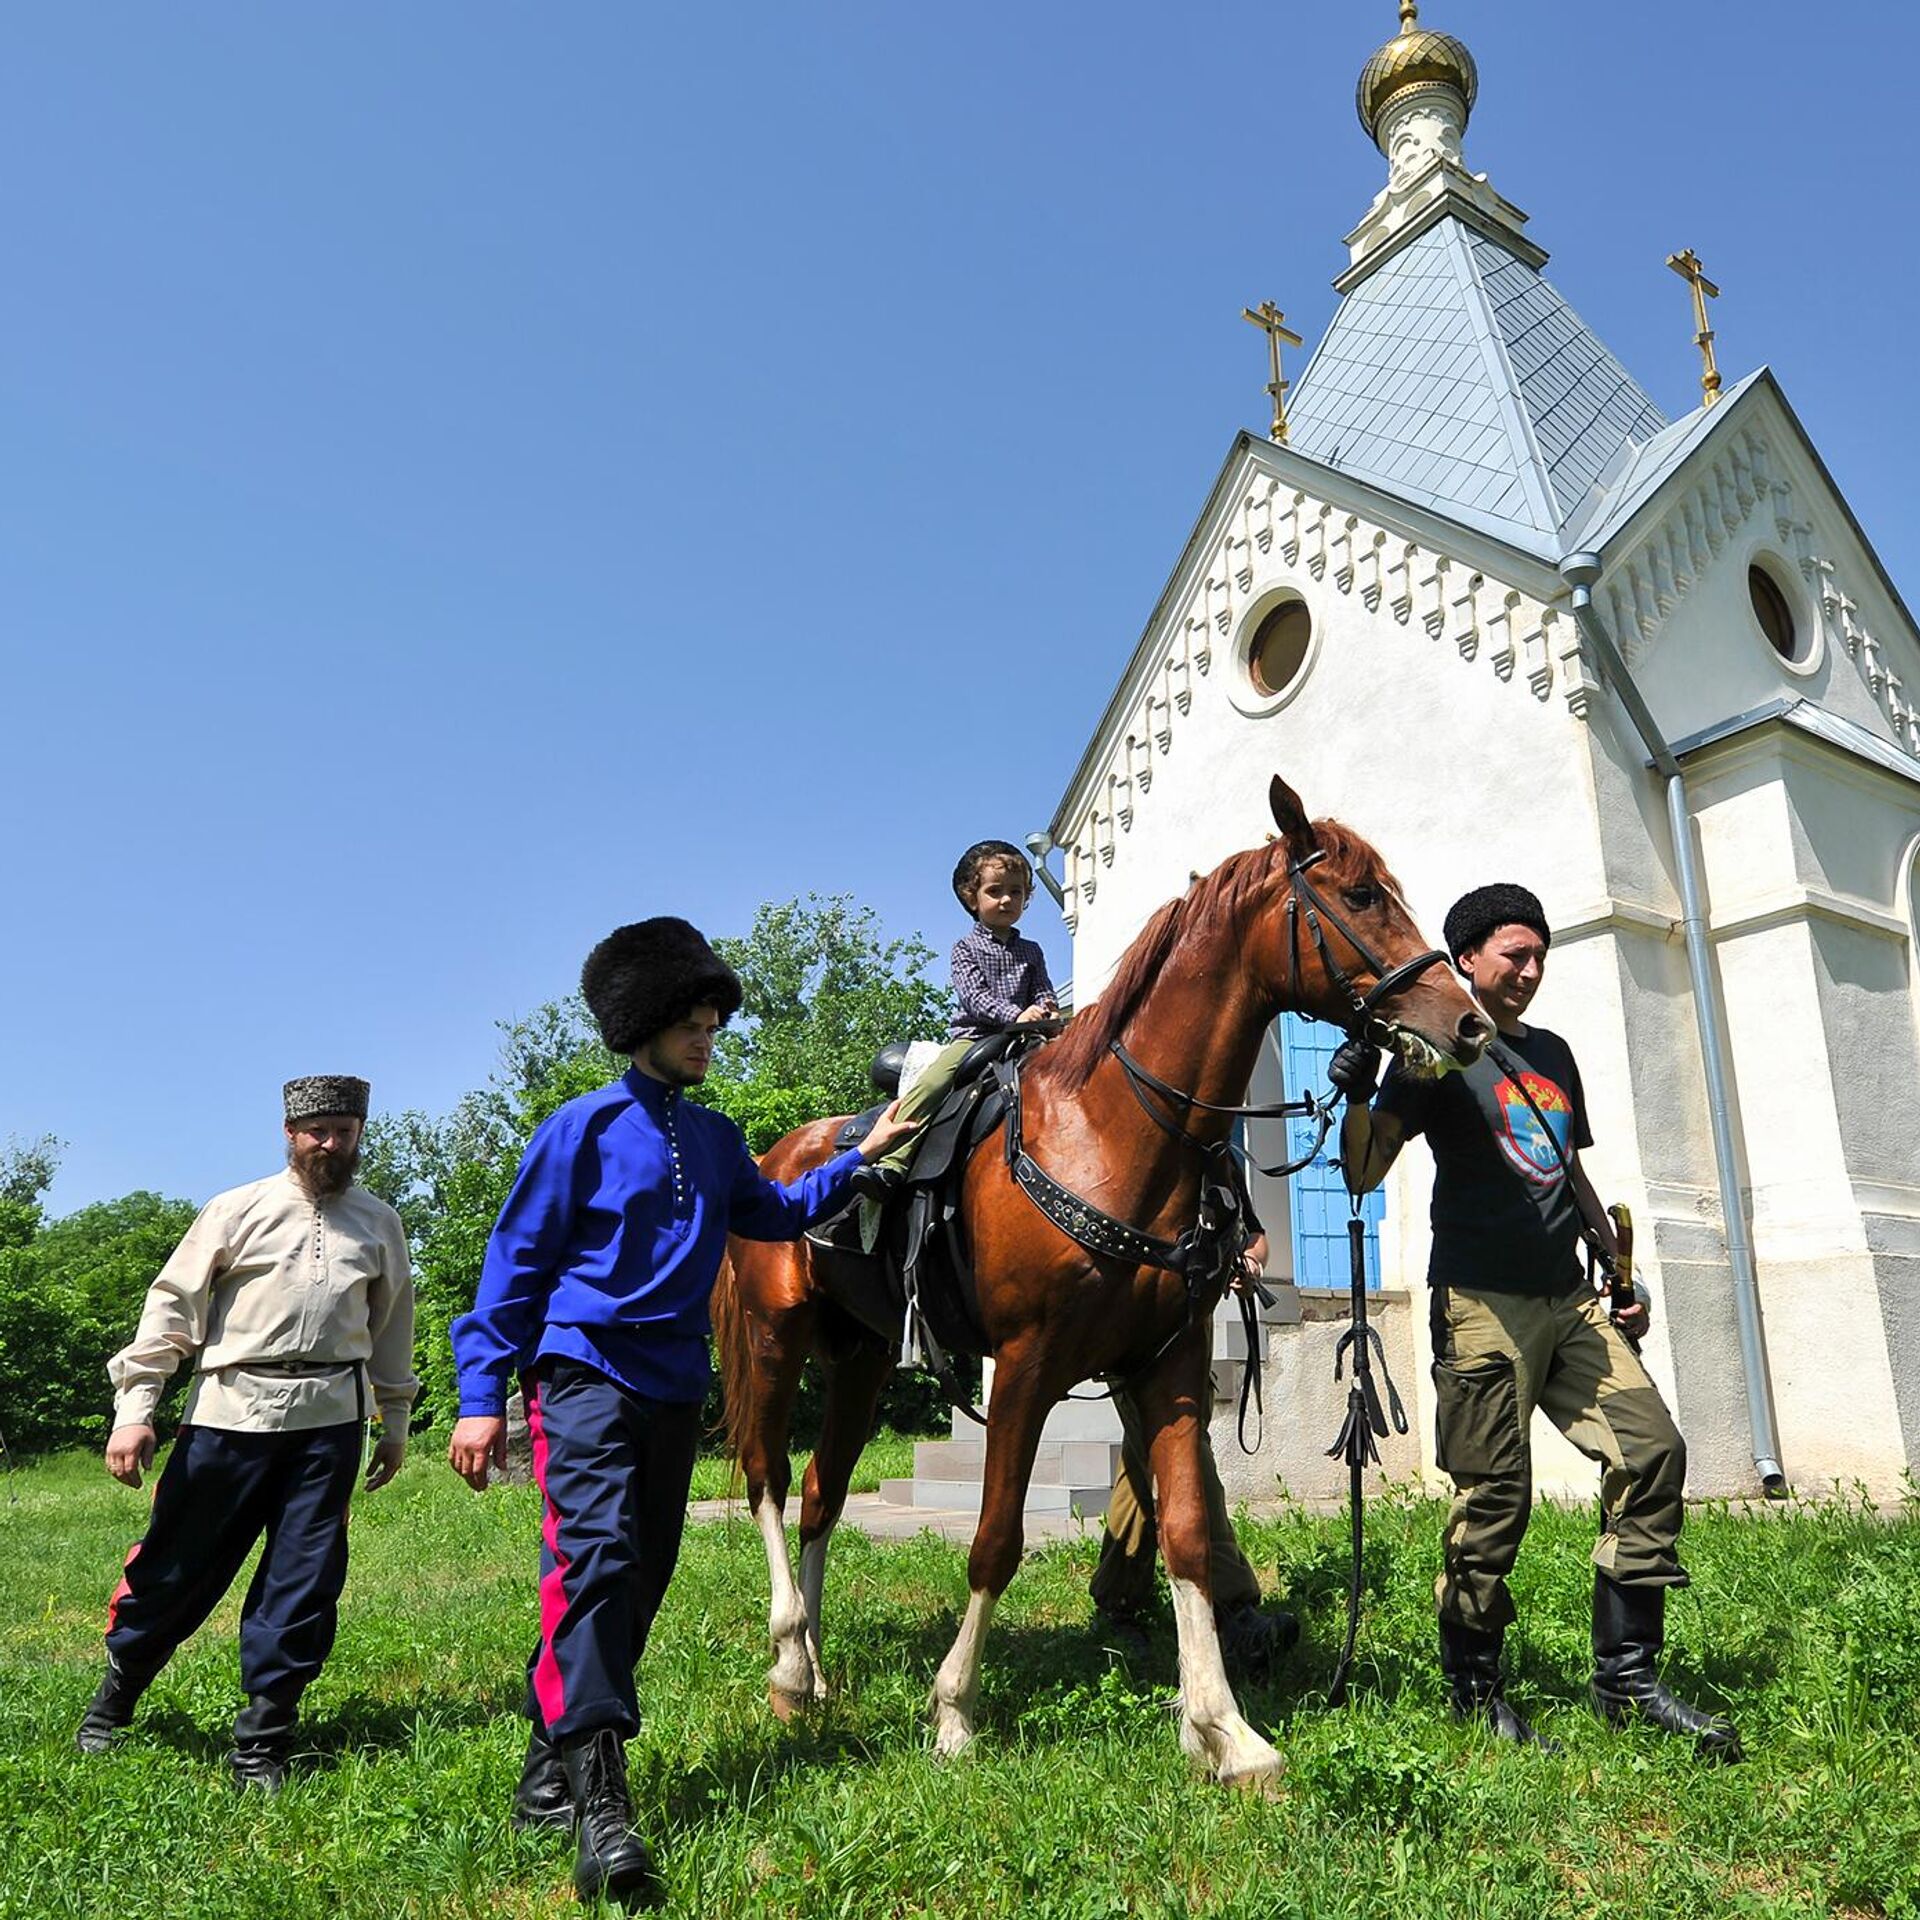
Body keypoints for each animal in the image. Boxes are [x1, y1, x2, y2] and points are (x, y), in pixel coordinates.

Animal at [714, 775, 1489, 1781]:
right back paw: (785, 1656)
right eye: (1359, 897)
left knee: (821, 1493)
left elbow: (1189, 1534)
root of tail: (775, 1158)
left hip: (862, 1357)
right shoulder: (1024, 1369)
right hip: (775, 1336)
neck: (1115, 1132)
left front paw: (1224, 1730)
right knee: (768, 1479)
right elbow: (995, 1540)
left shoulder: (1168, 1366)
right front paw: (954, 1712)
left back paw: (808, 1668)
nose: (1467, 1022)